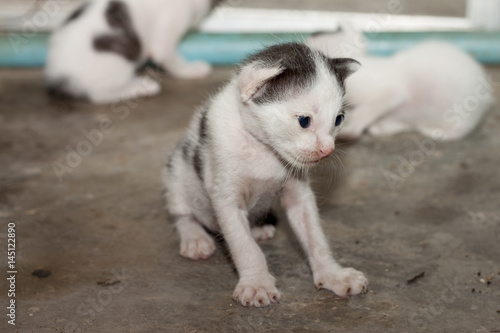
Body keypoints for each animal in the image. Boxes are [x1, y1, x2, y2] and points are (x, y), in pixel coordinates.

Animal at [45, 0, 223, 103]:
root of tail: (57, 74)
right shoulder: (167, 31)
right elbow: (170, 58)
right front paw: (191, 69)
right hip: (115, 67)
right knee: (101, 95)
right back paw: (141, 87)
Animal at [163, 42, 368, 308]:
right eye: (304, 121)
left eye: (339, 119)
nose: (327, 150)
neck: (263, 149)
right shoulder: (226, 198)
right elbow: (244, 246)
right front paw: (256, 284)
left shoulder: (299, 194)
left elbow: (315, 237)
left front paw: (333, 274)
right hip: (176, 174)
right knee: (182, 214)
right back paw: (195, 238)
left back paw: (258, 227)